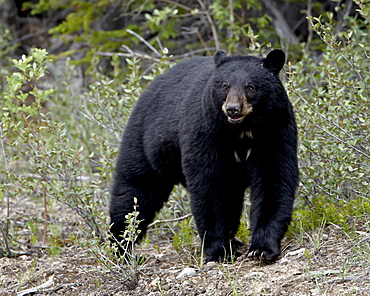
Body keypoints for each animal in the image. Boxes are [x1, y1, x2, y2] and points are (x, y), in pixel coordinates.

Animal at [108, 49, 300, 262]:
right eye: (224, 85)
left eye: (251, 87)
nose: (233, 109)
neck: (241, 130)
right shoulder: (206, 131)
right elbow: (211, 184)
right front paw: (219, 251)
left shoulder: (275, 128)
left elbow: (274, 178)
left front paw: (261, 248)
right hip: (145, 142)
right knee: (134, 192)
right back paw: (120, 248)